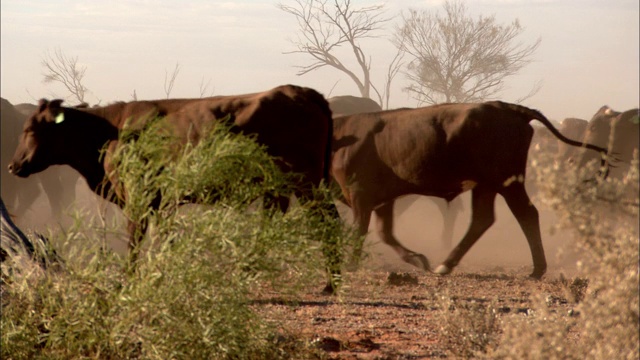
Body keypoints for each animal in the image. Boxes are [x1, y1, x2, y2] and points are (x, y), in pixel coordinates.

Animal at [10, 84, 340, 292]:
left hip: (307, 183)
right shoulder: (162, 201)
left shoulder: (139, 196)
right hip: (281, 187)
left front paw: (130, 277)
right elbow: (165, 237)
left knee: (329, 222)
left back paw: (331, 282)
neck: (109, 133)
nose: (13, 166)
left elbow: (135, 239)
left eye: (30, 130)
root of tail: (302, 91)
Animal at [332, 101, 608, 278]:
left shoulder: (360, 195)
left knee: (524, 214)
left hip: (505, 182)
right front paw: (417, 259)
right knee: (486, 219)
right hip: (487, 186)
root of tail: (508, 108)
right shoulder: (382, 200)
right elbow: (386, 232)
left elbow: (361, 231)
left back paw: (535, 269)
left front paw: (350, 264)